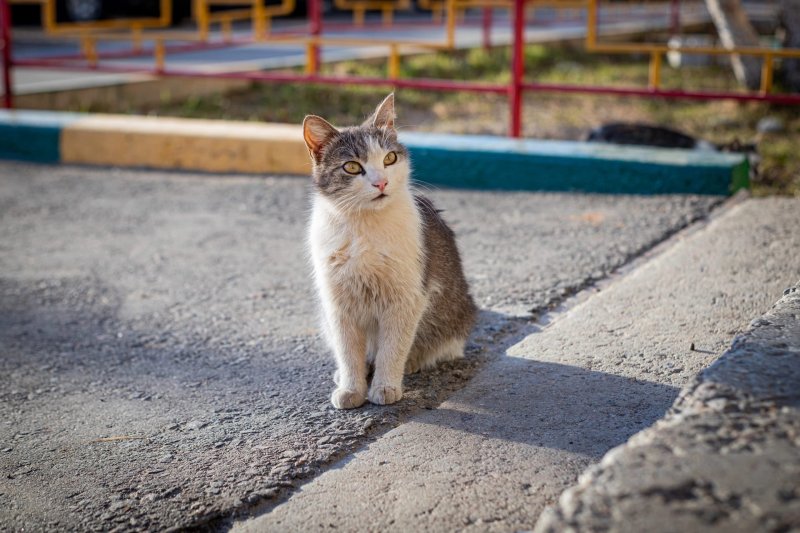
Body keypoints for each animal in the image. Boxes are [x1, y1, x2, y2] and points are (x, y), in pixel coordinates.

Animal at [300, 94, 476, 408]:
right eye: (352, 167)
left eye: (389, 158)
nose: (381, 182)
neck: (365, 226)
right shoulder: (338, 303)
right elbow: (348, 352)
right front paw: (351, 388)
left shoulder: (406, 298)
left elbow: (393, 348)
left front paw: (385, 386)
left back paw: (413, 362)